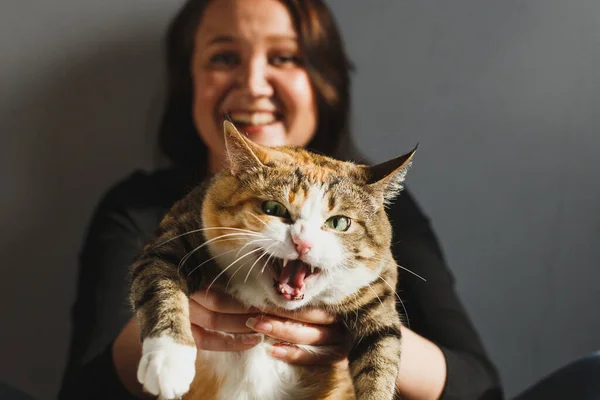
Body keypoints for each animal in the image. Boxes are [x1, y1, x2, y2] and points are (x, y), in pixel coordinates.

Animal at [127, 122, 418, 400]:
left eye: (339, 223)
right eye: (274, 208)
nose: (303, 243)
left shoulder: (376, 287)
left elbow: (381, 352)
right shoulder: (181, 230)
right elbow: (160, 284)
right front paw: (168, 362)